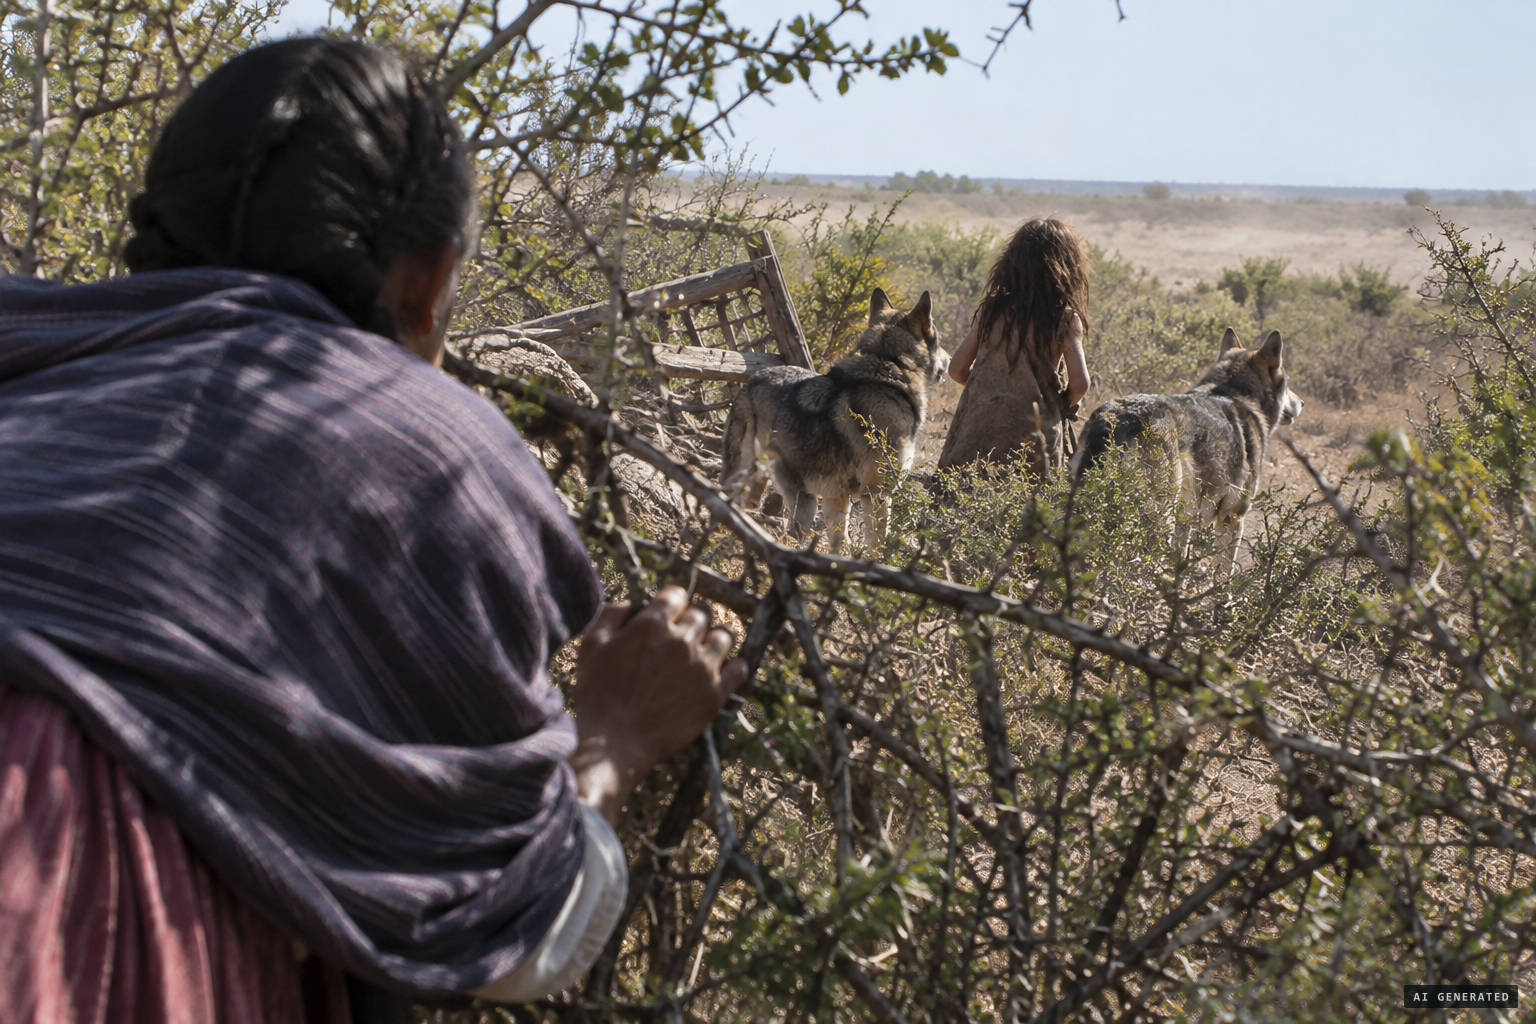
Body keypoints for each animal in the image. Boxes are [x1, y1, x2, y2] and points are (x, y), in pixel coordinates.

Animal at [721, 287, 947, 552]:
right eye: (939, 340)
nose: (950, 358)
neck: (886, 366)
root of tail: (752, 378)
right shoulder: (877, 494)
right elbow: (878, 545)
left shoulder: (836, 496)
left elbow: (841, 542)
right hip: (771, 485)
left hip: (789, 495)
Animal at [1069, 328, 1304, 570]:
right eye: (1287, 385)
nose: (1302, 402)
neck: (1235, 394)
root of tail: (1116, 420)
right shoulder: (1233, 516)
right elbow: (1224, 572)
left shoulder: (1188, 518)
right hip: (1159, 516)